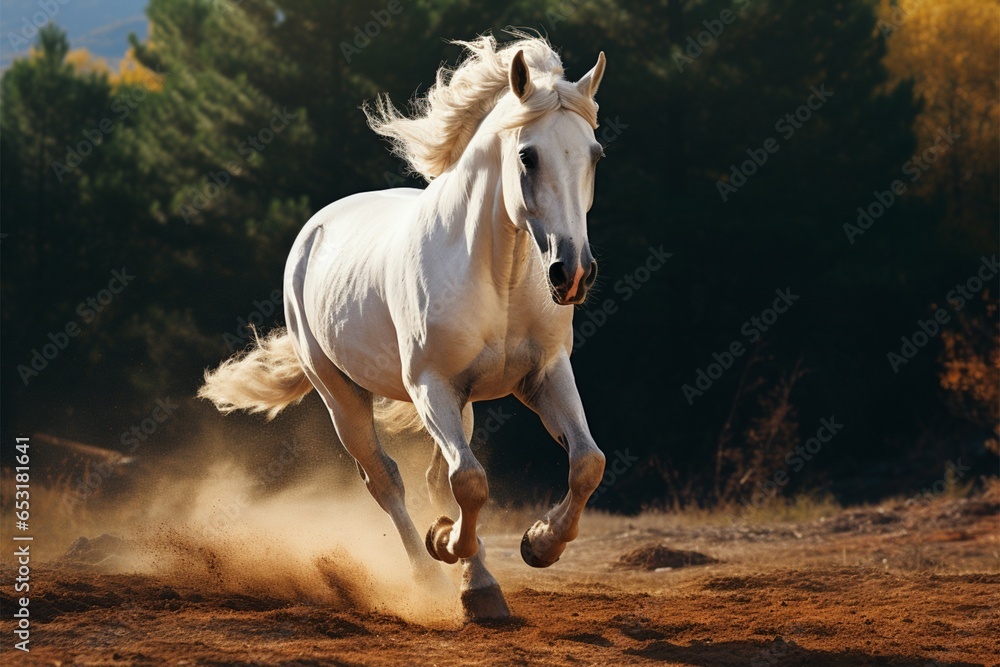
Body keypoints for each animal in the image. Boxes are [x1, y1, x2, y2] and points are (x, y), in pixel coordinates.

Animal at [199, 34, 608, 621]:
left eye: (595, 155)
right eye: (527, 156)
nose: (572, 273)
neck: (499, 277)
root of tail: (315, 228)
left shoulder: (545, 374)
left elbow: (585, 463)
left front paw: (538, 545)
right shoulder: (430, 386)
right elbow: (470, 482)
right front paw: (452, 552)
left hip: (462, 402)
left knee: (439, 478)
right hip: (342, 395)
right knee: (386, 478)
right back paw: (431, 576)